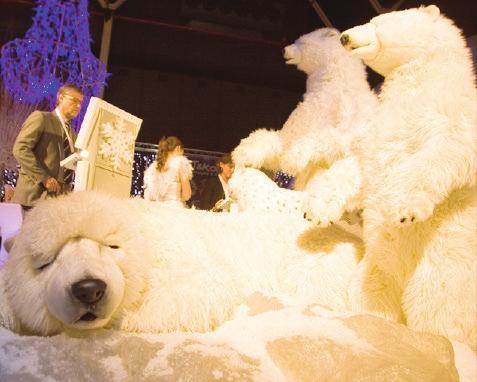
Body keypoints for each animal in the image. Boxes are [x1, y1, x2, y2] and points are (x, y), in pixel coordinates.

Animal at [0, 191, 360, 334]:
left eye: (112, 245)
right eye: (45, 262)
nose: (88, 289)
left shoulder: (184, 250)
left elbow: (201, 286)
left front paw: (129, 316)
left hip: (314, 260)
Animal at [338, 5, 476, 350]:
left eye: (376, 20)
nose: (344, 36)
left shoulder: (451, 113)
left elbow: (444, 152)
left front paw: (402, 209)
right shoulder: (376, 129)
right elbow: (360, 163)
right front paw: (316, 206)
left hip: (443, 270)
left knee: (439, 311)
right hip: (377, 265)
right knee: (371, 291)